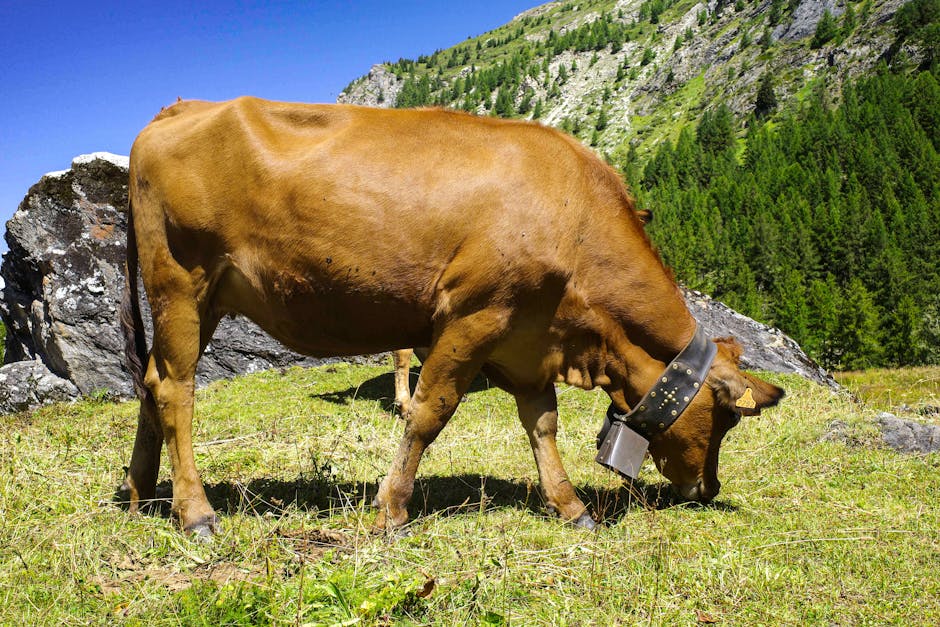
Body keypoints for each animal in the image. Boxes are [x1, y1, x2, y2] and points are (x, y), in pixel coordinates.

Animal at [121, 97, 784, 538]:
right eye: (726, 419)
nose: (709, 489)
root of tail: (178, 108)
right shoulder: (475, 315)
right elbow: (428, 414)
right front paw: (391, 509)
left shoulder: (529, 337)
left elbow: (542, 424)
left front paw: (570, 506)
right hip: (181, 280)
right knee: (176, 388)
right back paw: (195, 512)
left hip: (202, 298)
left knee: (151, 381)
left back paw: (137, 492)